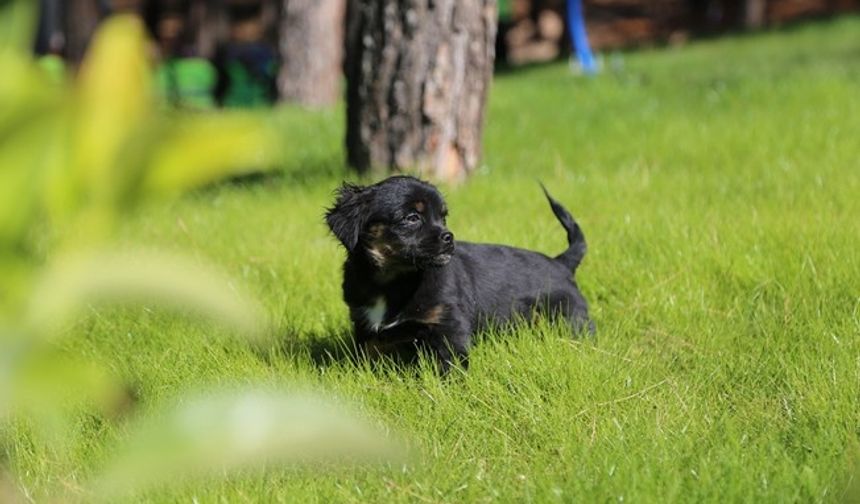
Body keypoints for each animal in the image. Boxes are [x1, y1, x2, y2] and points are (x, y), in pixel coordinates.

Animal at [324, 175, 592, 372]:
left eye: (443, 217)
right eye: (412, 218)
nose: (448, 237)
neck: (393, 281)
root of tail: (561, 263)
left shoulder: (448, 324)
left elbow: (450, 363)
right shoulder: (364, 325)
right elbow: (368, 355)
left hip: (570, 317)